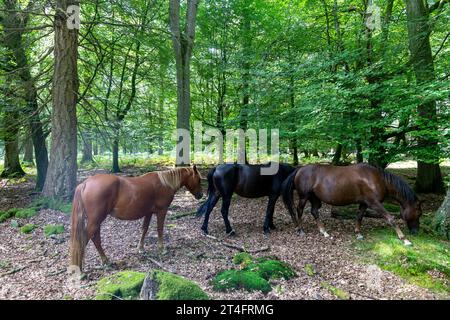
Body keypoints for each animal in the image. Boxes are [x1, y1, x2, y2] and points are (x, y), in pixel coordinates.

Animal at [69, 166, 203, 272]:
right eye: (199, 179)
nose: (201, 195)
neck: (165, 183)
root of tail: (85, 183)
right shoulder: (162, 211)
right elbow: (160, 229)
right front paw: (161, 248)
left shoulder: (148, 213)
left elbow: (144, 229)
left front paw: (140, 248)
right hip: (96, 220)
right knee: (86, 239)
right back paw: (80, 268)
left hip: (96, 221)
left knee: (95, 239)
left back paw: (105, 260)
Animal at [284, 164, 424, 244]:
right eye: (419, 213)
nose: (416, 231)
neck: (377, 179)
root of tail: (299, 169)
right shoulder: (374, 203)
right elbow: (390, 218)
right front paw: (404, 239)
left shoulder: (364, 203)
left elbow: (359, 216)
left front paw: (358, 233)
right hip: (304, 197)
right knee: (299, 210)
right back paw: (300, 229)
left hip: (315, 198)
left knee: (314, 211)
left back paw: (323, 231)